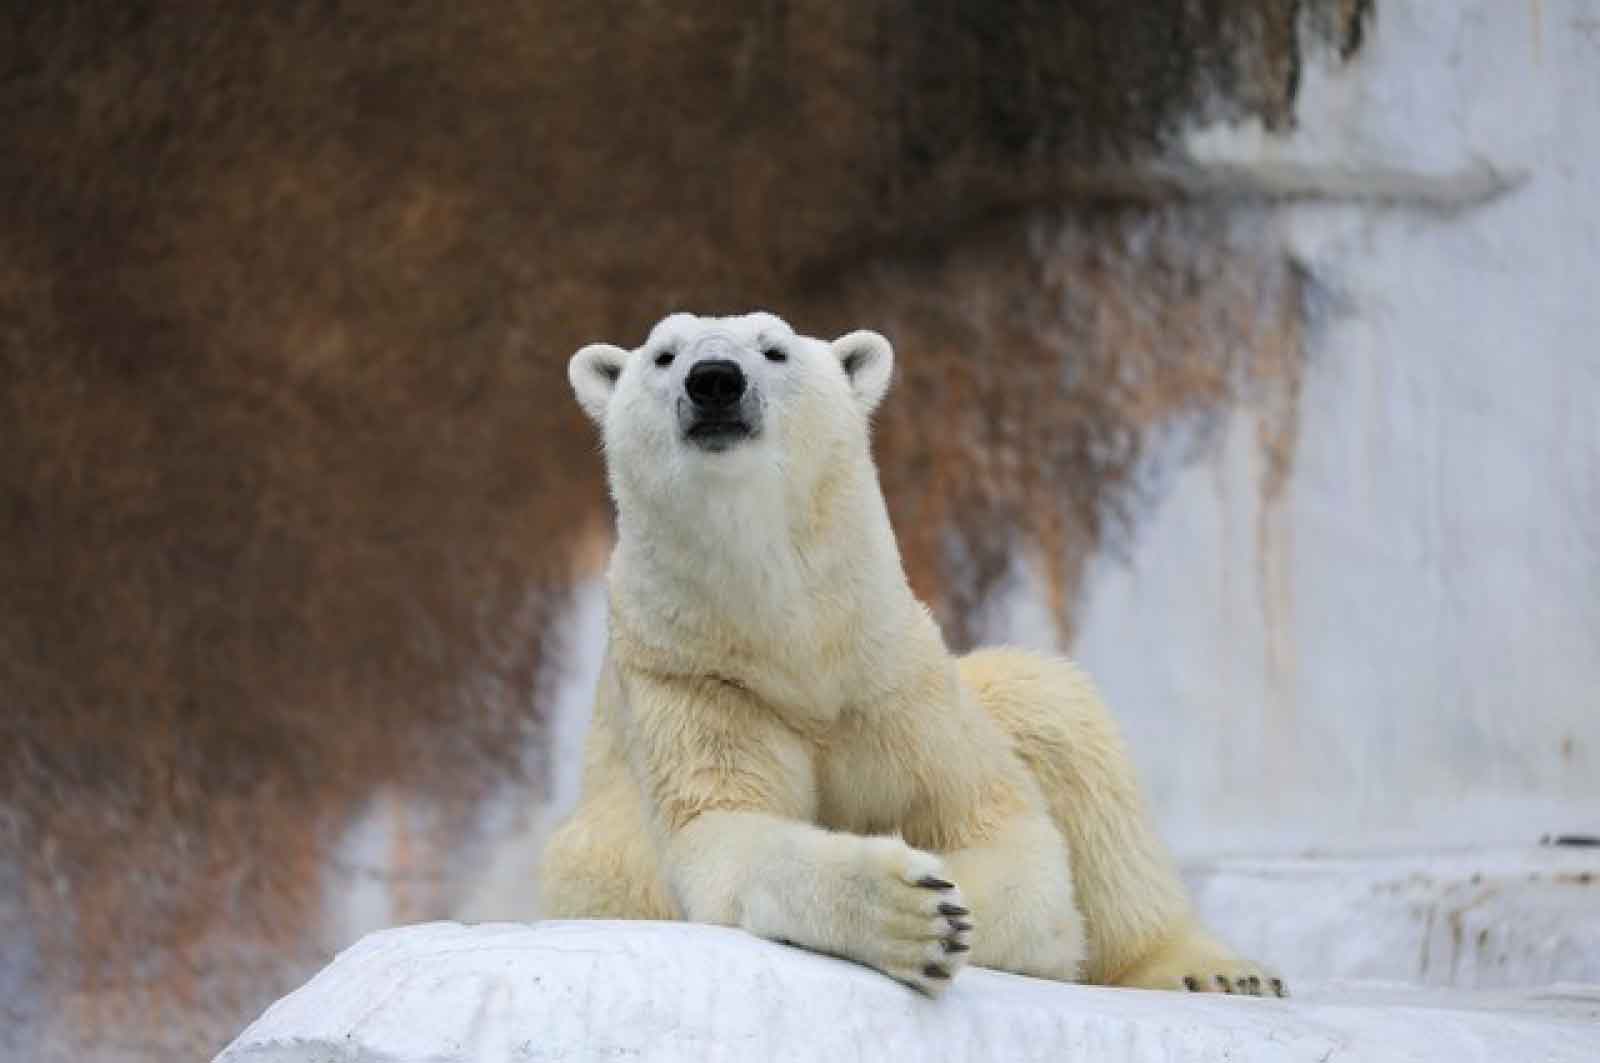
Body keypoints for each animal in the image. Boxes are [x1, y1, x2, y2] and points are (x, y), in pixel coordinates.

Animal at [544, 308, 1280, 998]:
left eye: (774, 348)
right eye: (664, 354)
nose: (715, 380)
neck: (794, 645)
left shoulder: (893, 681)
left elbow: (1000, 831)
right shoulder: (697, 683)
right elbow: (727, 831)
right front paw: (912, 914)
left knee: (1058, 716)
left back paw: (1213, 970)